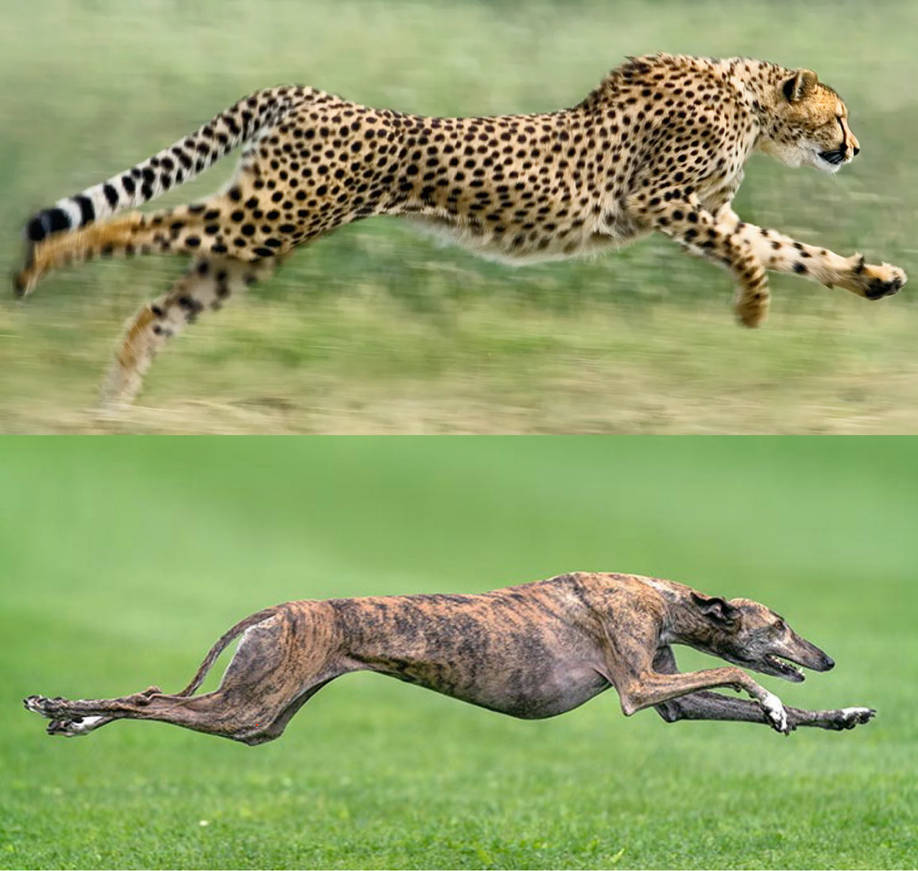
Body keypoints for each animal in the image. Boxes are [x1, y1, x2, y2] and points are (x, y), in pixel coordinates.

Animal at [14, 53, 907, 408]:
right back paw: (39, 262)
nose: (857, 147)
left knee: (161, 306)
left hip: (259, 244)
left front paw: (873, 277)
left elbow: (787, 248)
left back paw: (116, 397)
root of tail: (308, 92)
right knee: (134, 221)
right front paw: (753, 308)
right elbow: (751, 253)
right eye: (840, 116)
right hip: (265, 217)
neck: (747, 98)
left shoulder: (701, 208)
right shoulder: (661, 202)